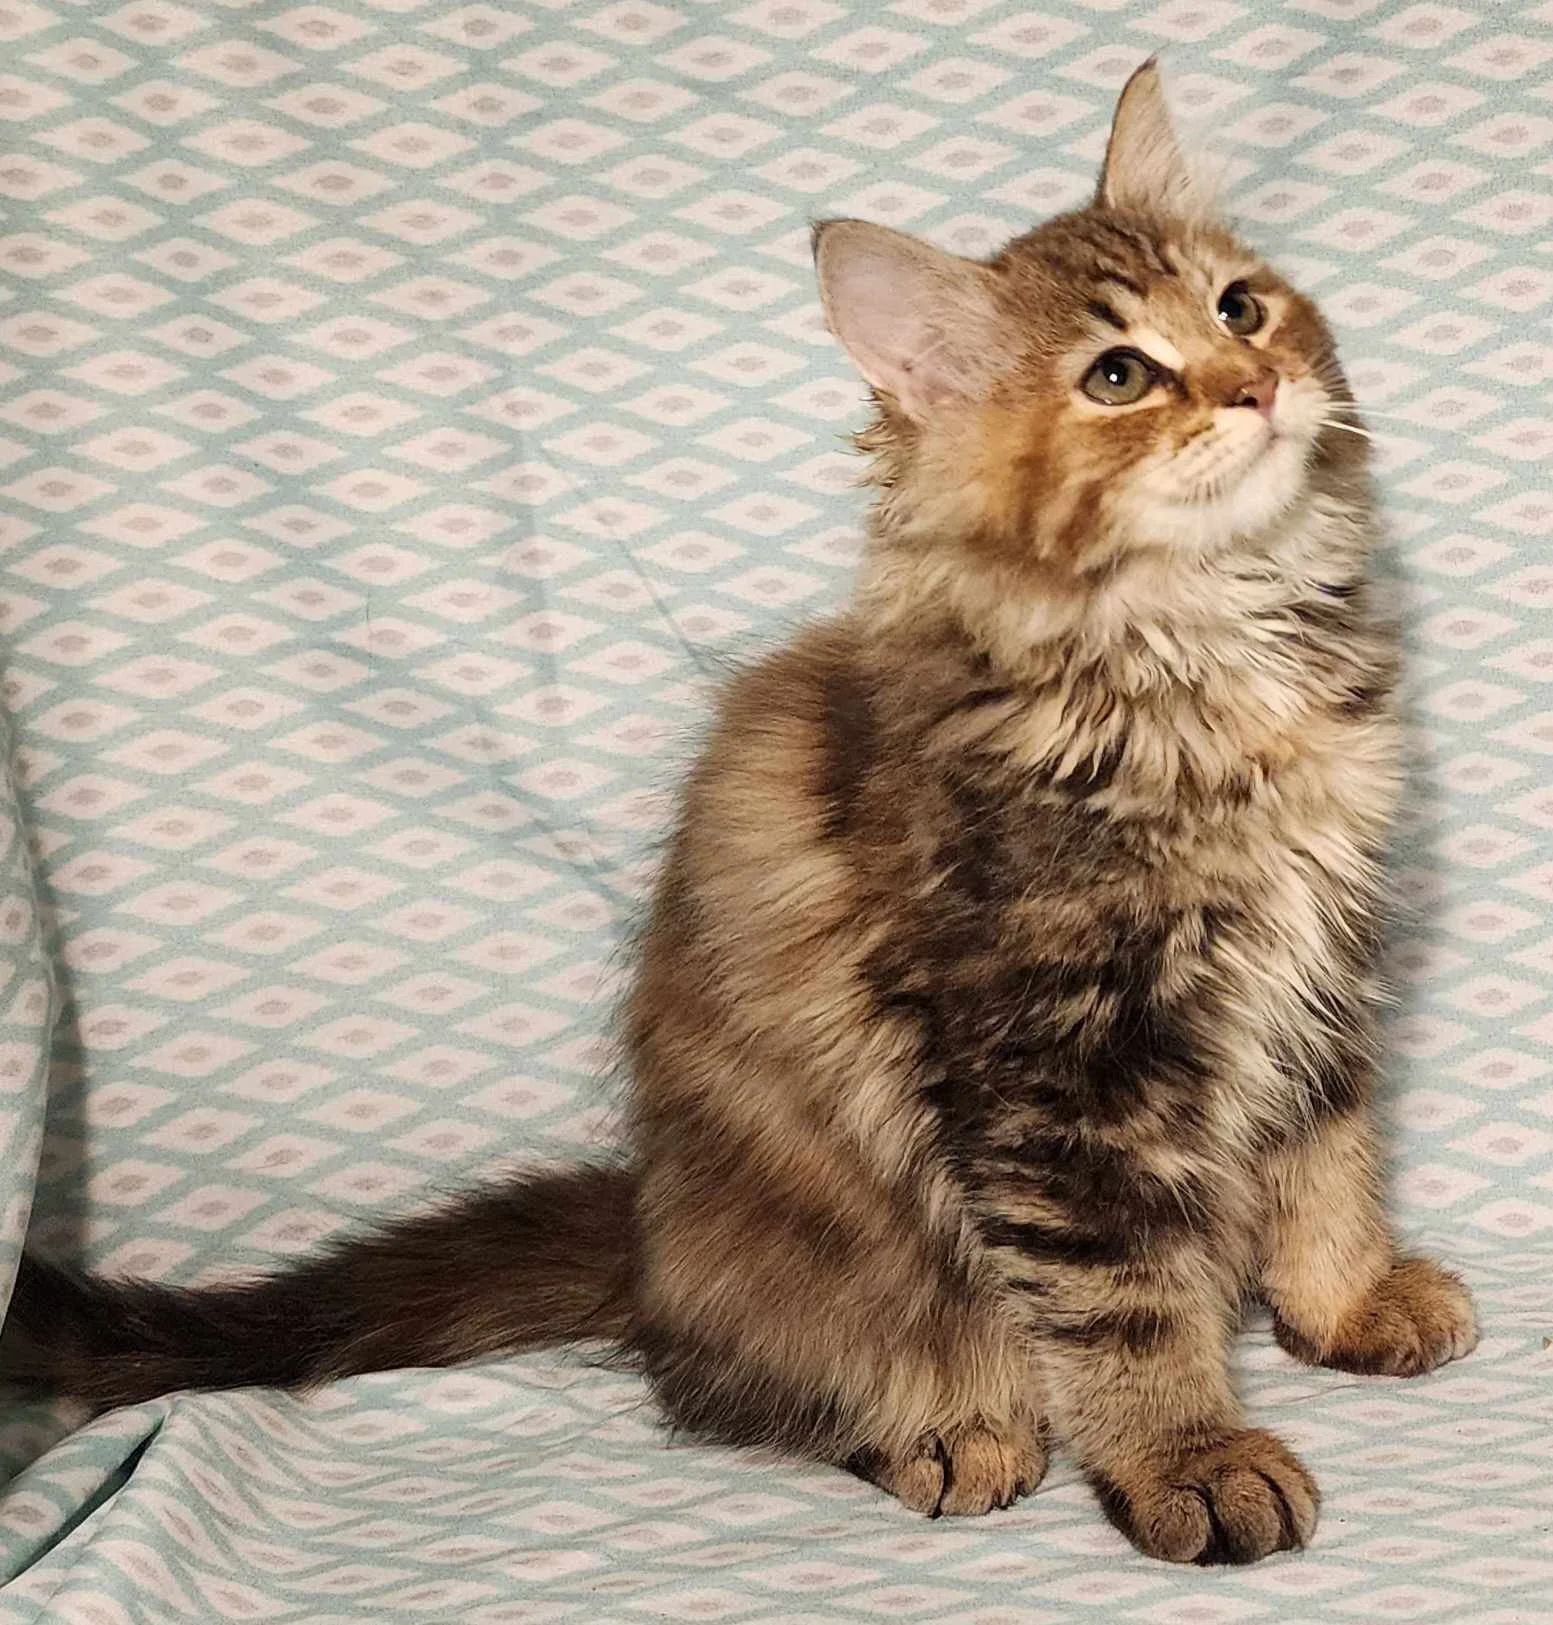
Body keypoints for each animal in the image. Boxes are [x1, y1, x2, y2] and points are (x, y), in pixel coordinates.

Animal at [0, 61, 1477, 1566]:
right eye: (1117, 375)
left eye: (1239, 306)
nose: (1260, 384)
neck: (1207, 658)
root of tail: (648, 1239)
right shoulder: (1054, 1061)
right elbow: (1125, 1299)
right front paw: (1187, 1453)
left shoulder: (1318, 965)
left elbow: (1326, 1157)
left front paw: (1342, 1303)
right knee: (739, 1383)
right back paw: (946, 1431)